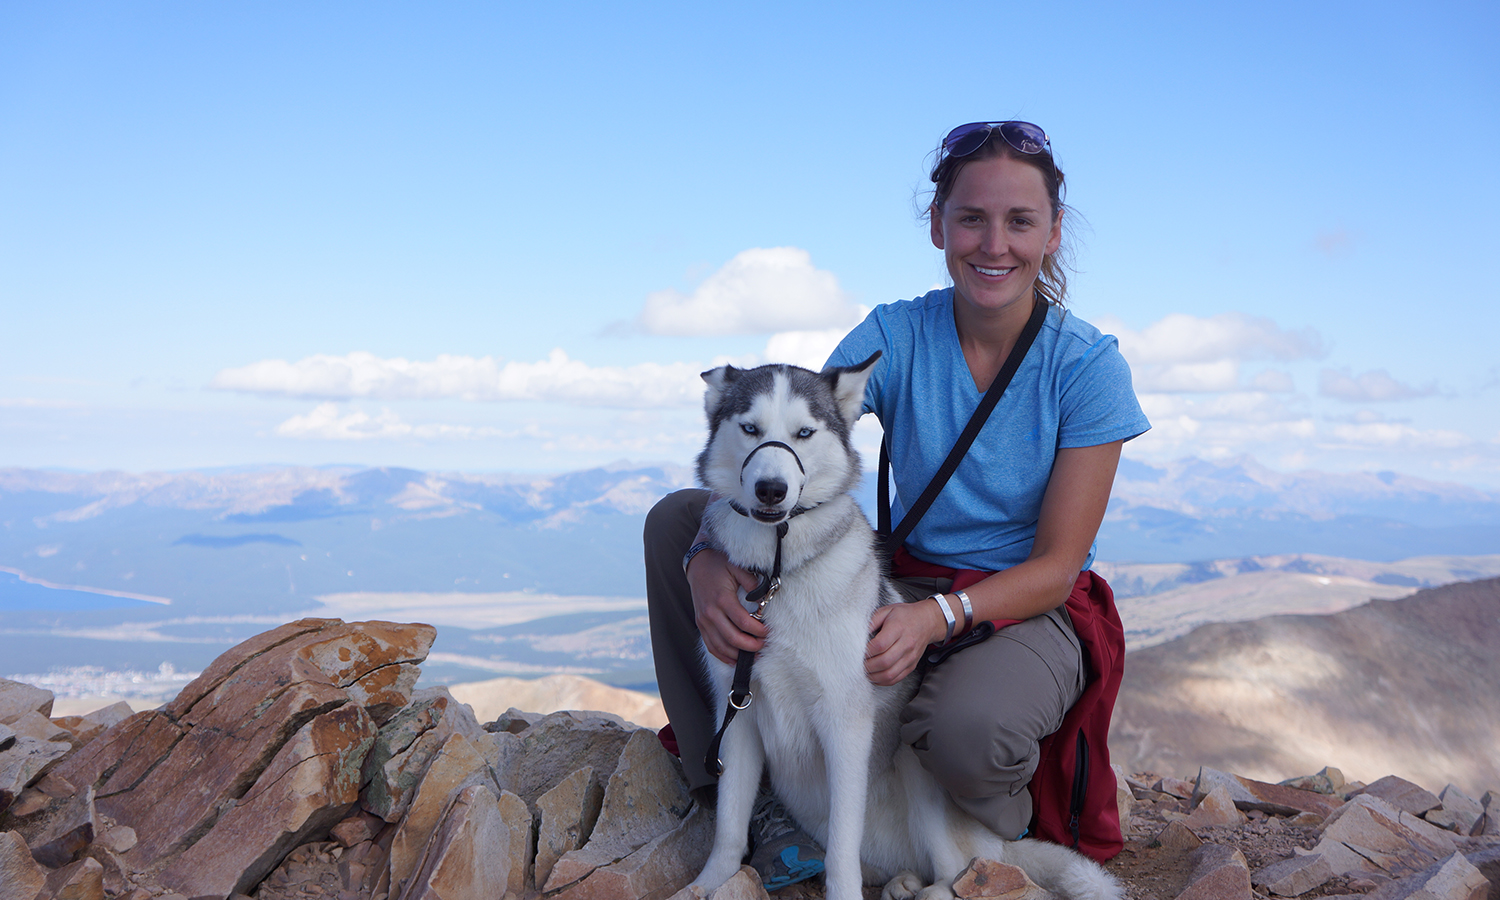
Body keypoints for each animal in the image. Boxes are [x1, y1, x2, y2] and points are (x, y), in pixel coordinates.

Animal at [687, 354, 1122, 900]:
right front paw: (708, 883)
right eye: (750, 429)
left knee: (957, 868)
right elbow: (728, 825)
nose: (771, 488)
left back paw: (934, 886)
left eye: (804, 432)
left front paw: (842, 893)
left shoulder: (845, 723)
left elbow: (842, 847)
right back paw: (902, 881)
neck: (778, 577)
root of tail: (1001, 841)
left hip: (920, 763)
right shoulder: (738, 713)